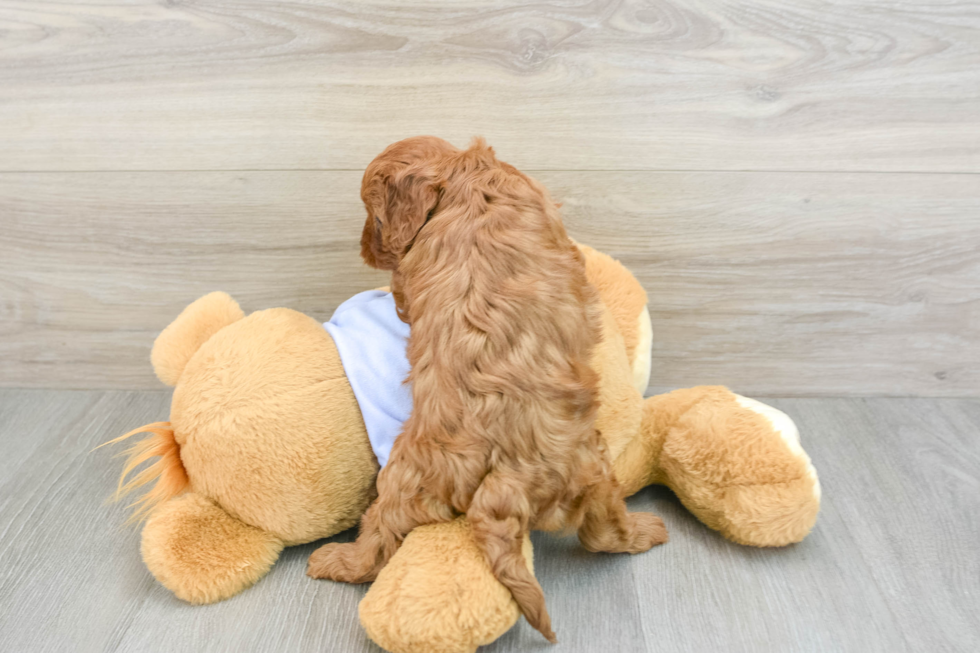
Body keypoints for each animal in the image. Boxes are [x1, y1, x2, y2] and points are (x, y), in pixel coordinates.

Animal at [310, 135, 668, 640]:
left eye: (373, 217)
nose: (365, 249)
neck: (462, 175)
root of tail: (506, 476)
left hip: (419, 482)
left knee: (379, 539)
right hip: (592, 467)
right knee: (602, 533)